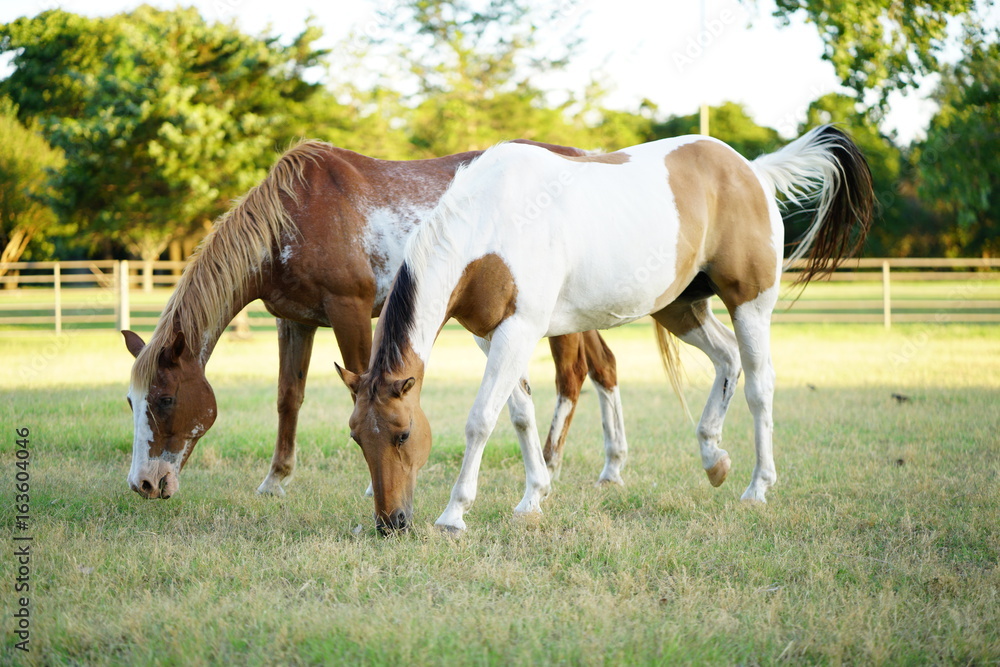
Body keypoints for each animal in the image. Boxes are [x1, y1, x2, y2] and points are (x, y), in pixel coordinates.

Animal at [123, 138, 624, 498]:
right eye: (131, 402)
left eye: (165, 399)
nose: (144, 484)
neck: (296, 217)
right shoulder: (295, 321)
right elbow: (288, 398)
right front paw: (276, 480)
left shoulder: (351, 310)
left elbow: (360, 385)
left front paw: (371, 481)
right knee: (604, 366)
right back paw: (611, 467)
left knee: (572, 375)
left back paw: (554, 465)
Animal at [340, 124, 872, 532]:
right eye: (357, 438)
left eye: (404, 434)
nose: (390, 523)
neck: (492, 222)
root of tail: (752, 171)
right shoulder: (490, 337)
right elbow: (521, 414)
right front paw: (533, 497)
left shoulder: (518, 332)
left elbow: (482, 419)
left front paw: (455, 514)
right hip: (680, 308)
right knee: (727, 358)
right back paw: (713, 458)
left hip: (750, 306)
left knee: (760, 386)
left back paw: (757, 486)